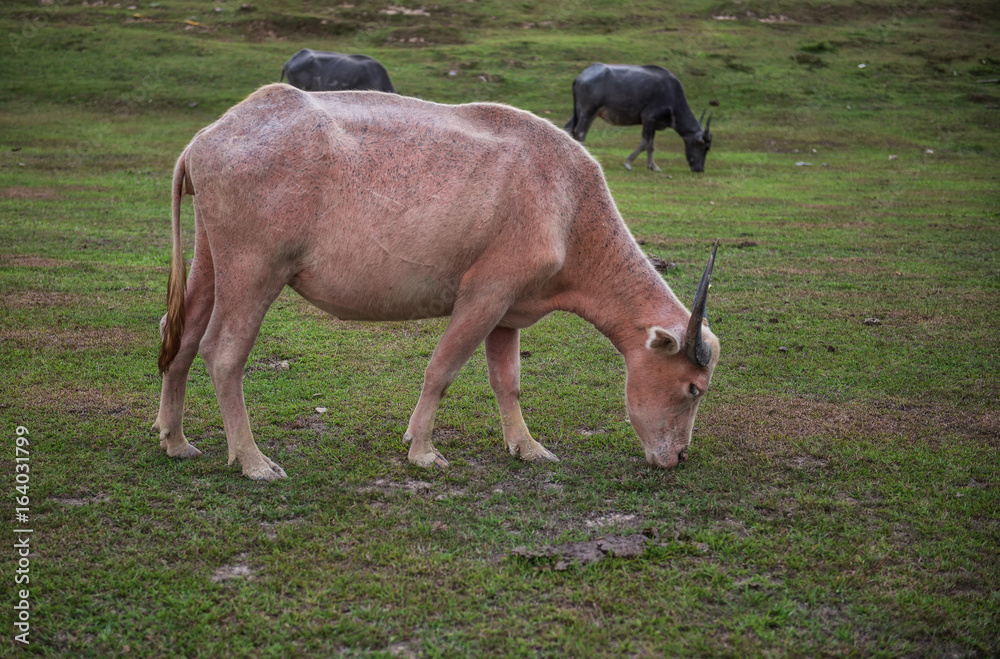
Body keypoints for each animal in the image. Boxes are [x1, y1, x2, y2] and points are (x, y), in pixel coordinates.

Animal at [152, 85, 720, 482]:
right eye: (693, 388)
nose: (678, 456)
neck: (568, 200)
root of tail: (207, 139)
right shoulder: (484, 295)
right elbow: (442, 370)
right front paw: (423, 451)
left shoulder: (509, 312)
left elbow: (508, 381)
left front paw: (528, 447)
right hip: (254, 270)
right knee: (224, 352)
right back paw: (252, 461)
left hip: (212, 262)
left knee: (180, 335)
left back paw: (175, 441)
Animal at [564, 63, 712, 173]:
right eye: (704, 147)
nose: (699, 169)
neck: (672, 95)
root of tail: (581, 76)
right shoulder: (648, 119)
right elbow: (644, 142)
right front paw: (628, 162)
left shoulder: (654, 124)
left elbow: (651, 145)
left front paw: (653, 166)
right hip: (588, 112)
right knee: (580, 132)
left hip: (578, 112)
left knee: (569, 128)